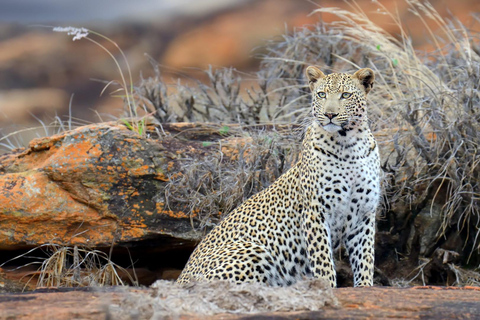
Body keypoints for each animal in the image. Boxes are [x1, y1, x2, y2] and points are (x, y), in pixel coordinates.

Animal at [175, 65, 378, 288]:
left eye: (346, 95)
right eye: (321, 94)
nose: (330, 114)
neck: (349, 145)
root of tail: (180, 278)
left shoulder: (364, 215)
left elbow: (365, 259)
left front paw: (365, 287)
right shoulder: (315, 212)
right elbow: (323, 261)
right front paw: (327, 288)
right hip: (253, 250)